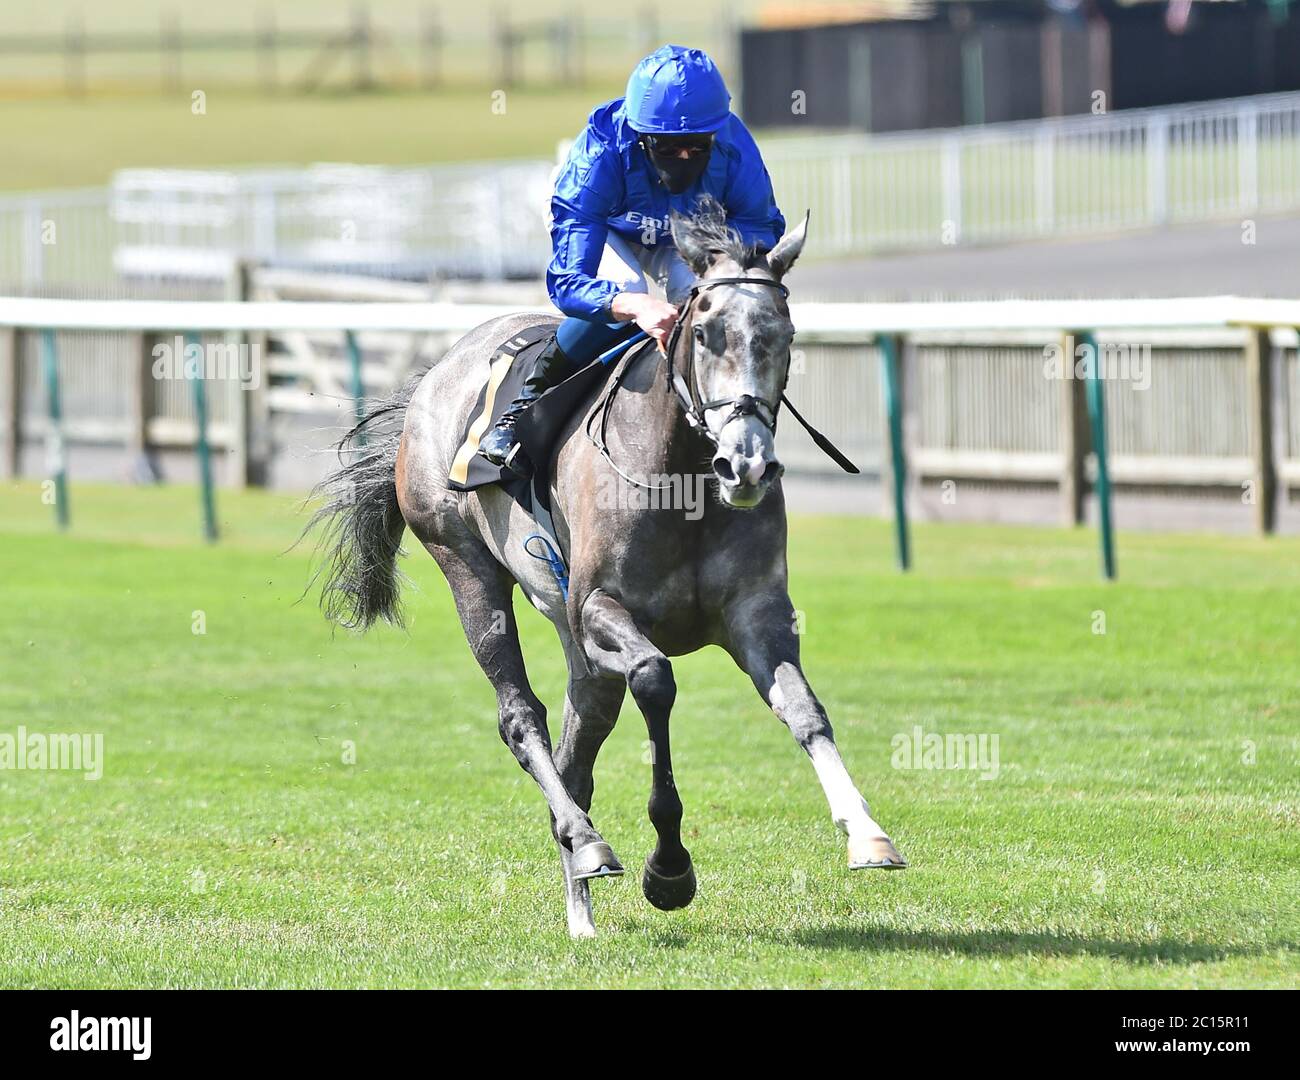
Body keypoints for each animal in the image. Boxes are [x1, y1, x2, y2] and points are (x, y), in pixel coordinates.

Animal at [306, 200, 904, 935]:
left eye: (784, 334)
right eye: (703, 332)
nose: (747, 465)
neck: (682, 481)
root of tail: (437, 374)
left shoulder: (756, 614)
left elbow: (805, 709)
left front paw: (867, 833)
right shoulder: (599, 609)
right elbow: (655, 678)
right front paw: (669, 869)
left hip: (579, 650)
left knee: (576, 750)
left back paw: (580, 907)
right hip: (470, 572)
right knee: (522, 718)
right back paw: (588, 845)